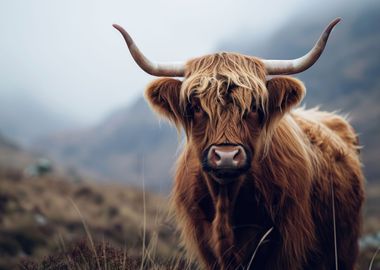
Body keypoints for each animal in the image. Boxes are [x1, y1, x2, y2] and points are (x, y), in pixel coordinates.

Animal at [113, 17, 366, 268]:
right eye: (196, 107)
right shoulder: (205, 245)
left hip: (344, 247)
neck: (226, 203)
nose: (226, 157)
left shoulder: (287, 242)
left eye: (254, 106)